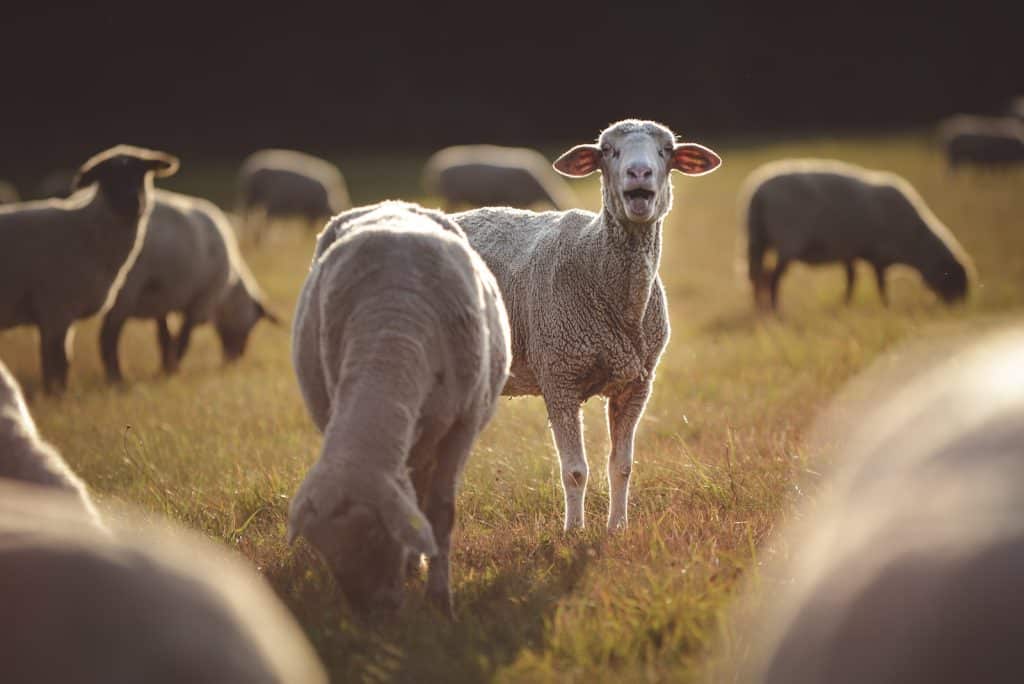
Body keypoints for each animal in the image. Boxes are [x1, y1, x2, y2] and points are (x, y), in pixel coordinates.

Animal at [0, 145, 179, 393]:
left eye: (141, 173)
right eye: (108, 177)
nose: (133, 203)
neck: (87, 232)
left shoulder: (56, 314)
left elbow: (57, 359)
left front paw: (55, 392)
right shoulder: (55, 307)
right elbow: (56, 360)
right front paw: (55, 395)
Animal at [100, 188, 280, 383]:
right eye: (251, 327)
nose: (236, 359)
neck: (226, 295)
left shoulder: (164, 300)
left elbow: (164, 337)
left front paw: (165, 369)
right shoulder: (200, 302)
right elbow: (183, 339)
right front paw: (173, 370)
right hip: (127, 287)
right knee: (108, 335)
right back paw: (115, 377)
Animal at [288, 200, 510, 617]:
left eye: (377, 536)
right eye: (326, 555)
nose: (374, 618)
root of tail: (390, 203)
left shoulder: (463, 425)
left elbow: (440, 512)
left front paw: (439, 600)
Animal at [453, 119, 722, 531]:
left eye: (667, 150)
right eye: (607, 150)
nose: (639, 172)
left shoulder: (636, 384)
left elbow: (622, 466)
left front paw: (617, 528)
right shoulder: (559, 376)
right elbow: (575, 471)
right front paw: (574, 532)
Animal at [742, 159, 973, 310]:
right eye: (953, 279)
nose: (960, 308)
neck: (916, 243)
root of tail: (758, 194)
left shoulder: (850, 252)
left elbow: (852, 280)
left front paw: (846, 304)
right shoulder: (879, 255)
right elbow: (880, 284)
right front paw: (887, 306)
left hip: (758, 239)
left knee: (759, 276)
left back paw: (762, 309)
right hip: (788, 241)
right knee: (773, 277)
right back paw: (776, 311)